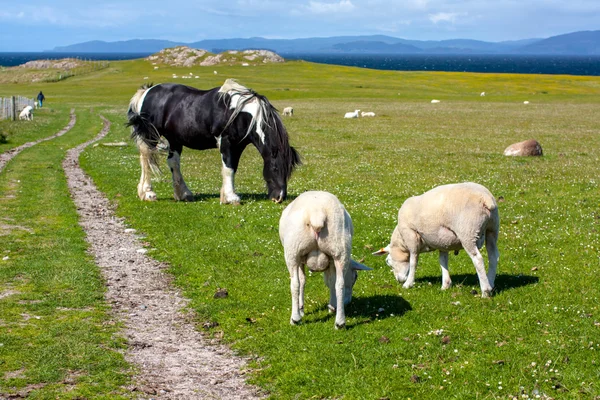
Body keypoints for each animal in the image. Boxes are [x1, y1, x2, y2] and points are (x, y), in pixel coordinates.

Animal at [126, 79, 300, 203]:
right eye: (276, 168)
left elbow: (232, 167)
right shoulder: (226, 142)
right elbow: (228, 168)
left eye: (289, 171)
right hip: (150, 137)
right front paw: (231, 198)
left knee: (173, 163)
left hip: (174, 140)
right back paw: (147, 193)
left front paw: (227, 195)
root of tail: (147, 91)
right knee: (146, 159)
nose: (280, 197)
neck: (241, 113)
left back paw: (183, 194)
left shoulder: (238, 146)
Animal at [280, 191, 372, 328]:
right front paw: (331, 307)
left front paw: (301, 310)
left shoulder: (301, 260)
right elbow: (331, 281)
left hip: (293, 251)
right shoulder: (331, 261)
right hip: (339, 249)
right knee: (339, 284)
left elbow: (302, 281)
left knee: (295, 283)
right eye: (355, 277)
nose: (348, 302)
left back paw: (295, 319)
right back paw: (340, 322)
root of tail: (317, 214)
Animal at [372, 181, 500, 296]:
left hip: (467, 232)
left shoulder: (411, 235)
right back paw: (491, 283)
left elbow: (413, 261)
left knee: (478, 259)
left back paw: (485, 291)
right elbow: (443, 261)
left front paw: (408, 284)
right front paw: (445, 285)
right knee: (493, 256)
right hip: (492, 229)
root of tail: (485, 198)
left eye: (388, 261)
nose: (399, 280)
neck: (401, 240)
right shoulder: (443, 243)